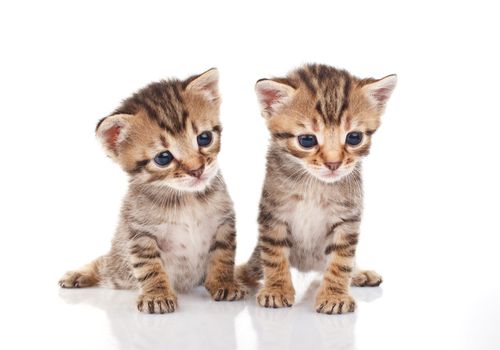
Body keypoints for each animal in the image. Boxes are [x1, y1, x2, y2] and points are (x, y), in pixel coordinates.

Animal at [59, 69, 247, 314]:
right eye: (163, 158)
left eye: (204, 138)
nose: (197, 170)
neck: (187, 200)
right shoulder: (139, 233)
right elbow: (149, 267)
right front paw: (157, 295)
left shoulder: (223, 222)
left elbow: (223, 256)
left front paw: (224, 282)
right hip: (119, 269)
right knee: (104, 262)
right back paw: (77, 274)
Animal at [236, 63, 396, 314]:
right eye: (307, 140)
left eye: (354, 137)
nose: (333, 164)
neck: (315, 185)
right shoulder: (273, 214)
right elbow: (274, 255)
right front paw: (276, 289)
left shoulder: (347, 219)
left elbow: (341, 261)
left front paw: (334, 295)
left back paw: (359, 273)